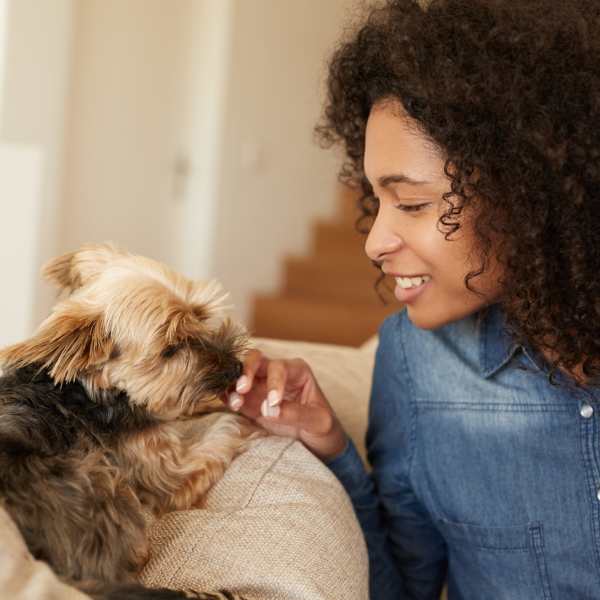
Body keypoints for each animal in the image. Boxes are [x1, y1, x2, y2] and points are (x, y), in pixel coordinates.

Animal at [0, 243, 264, 596]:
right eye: (171, 349)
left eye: (200, 317)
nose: (235, 368)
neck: (91, 390)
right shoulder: (165, 469)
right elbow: (216, 437)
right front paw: (246, 418)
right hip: (100, 475)